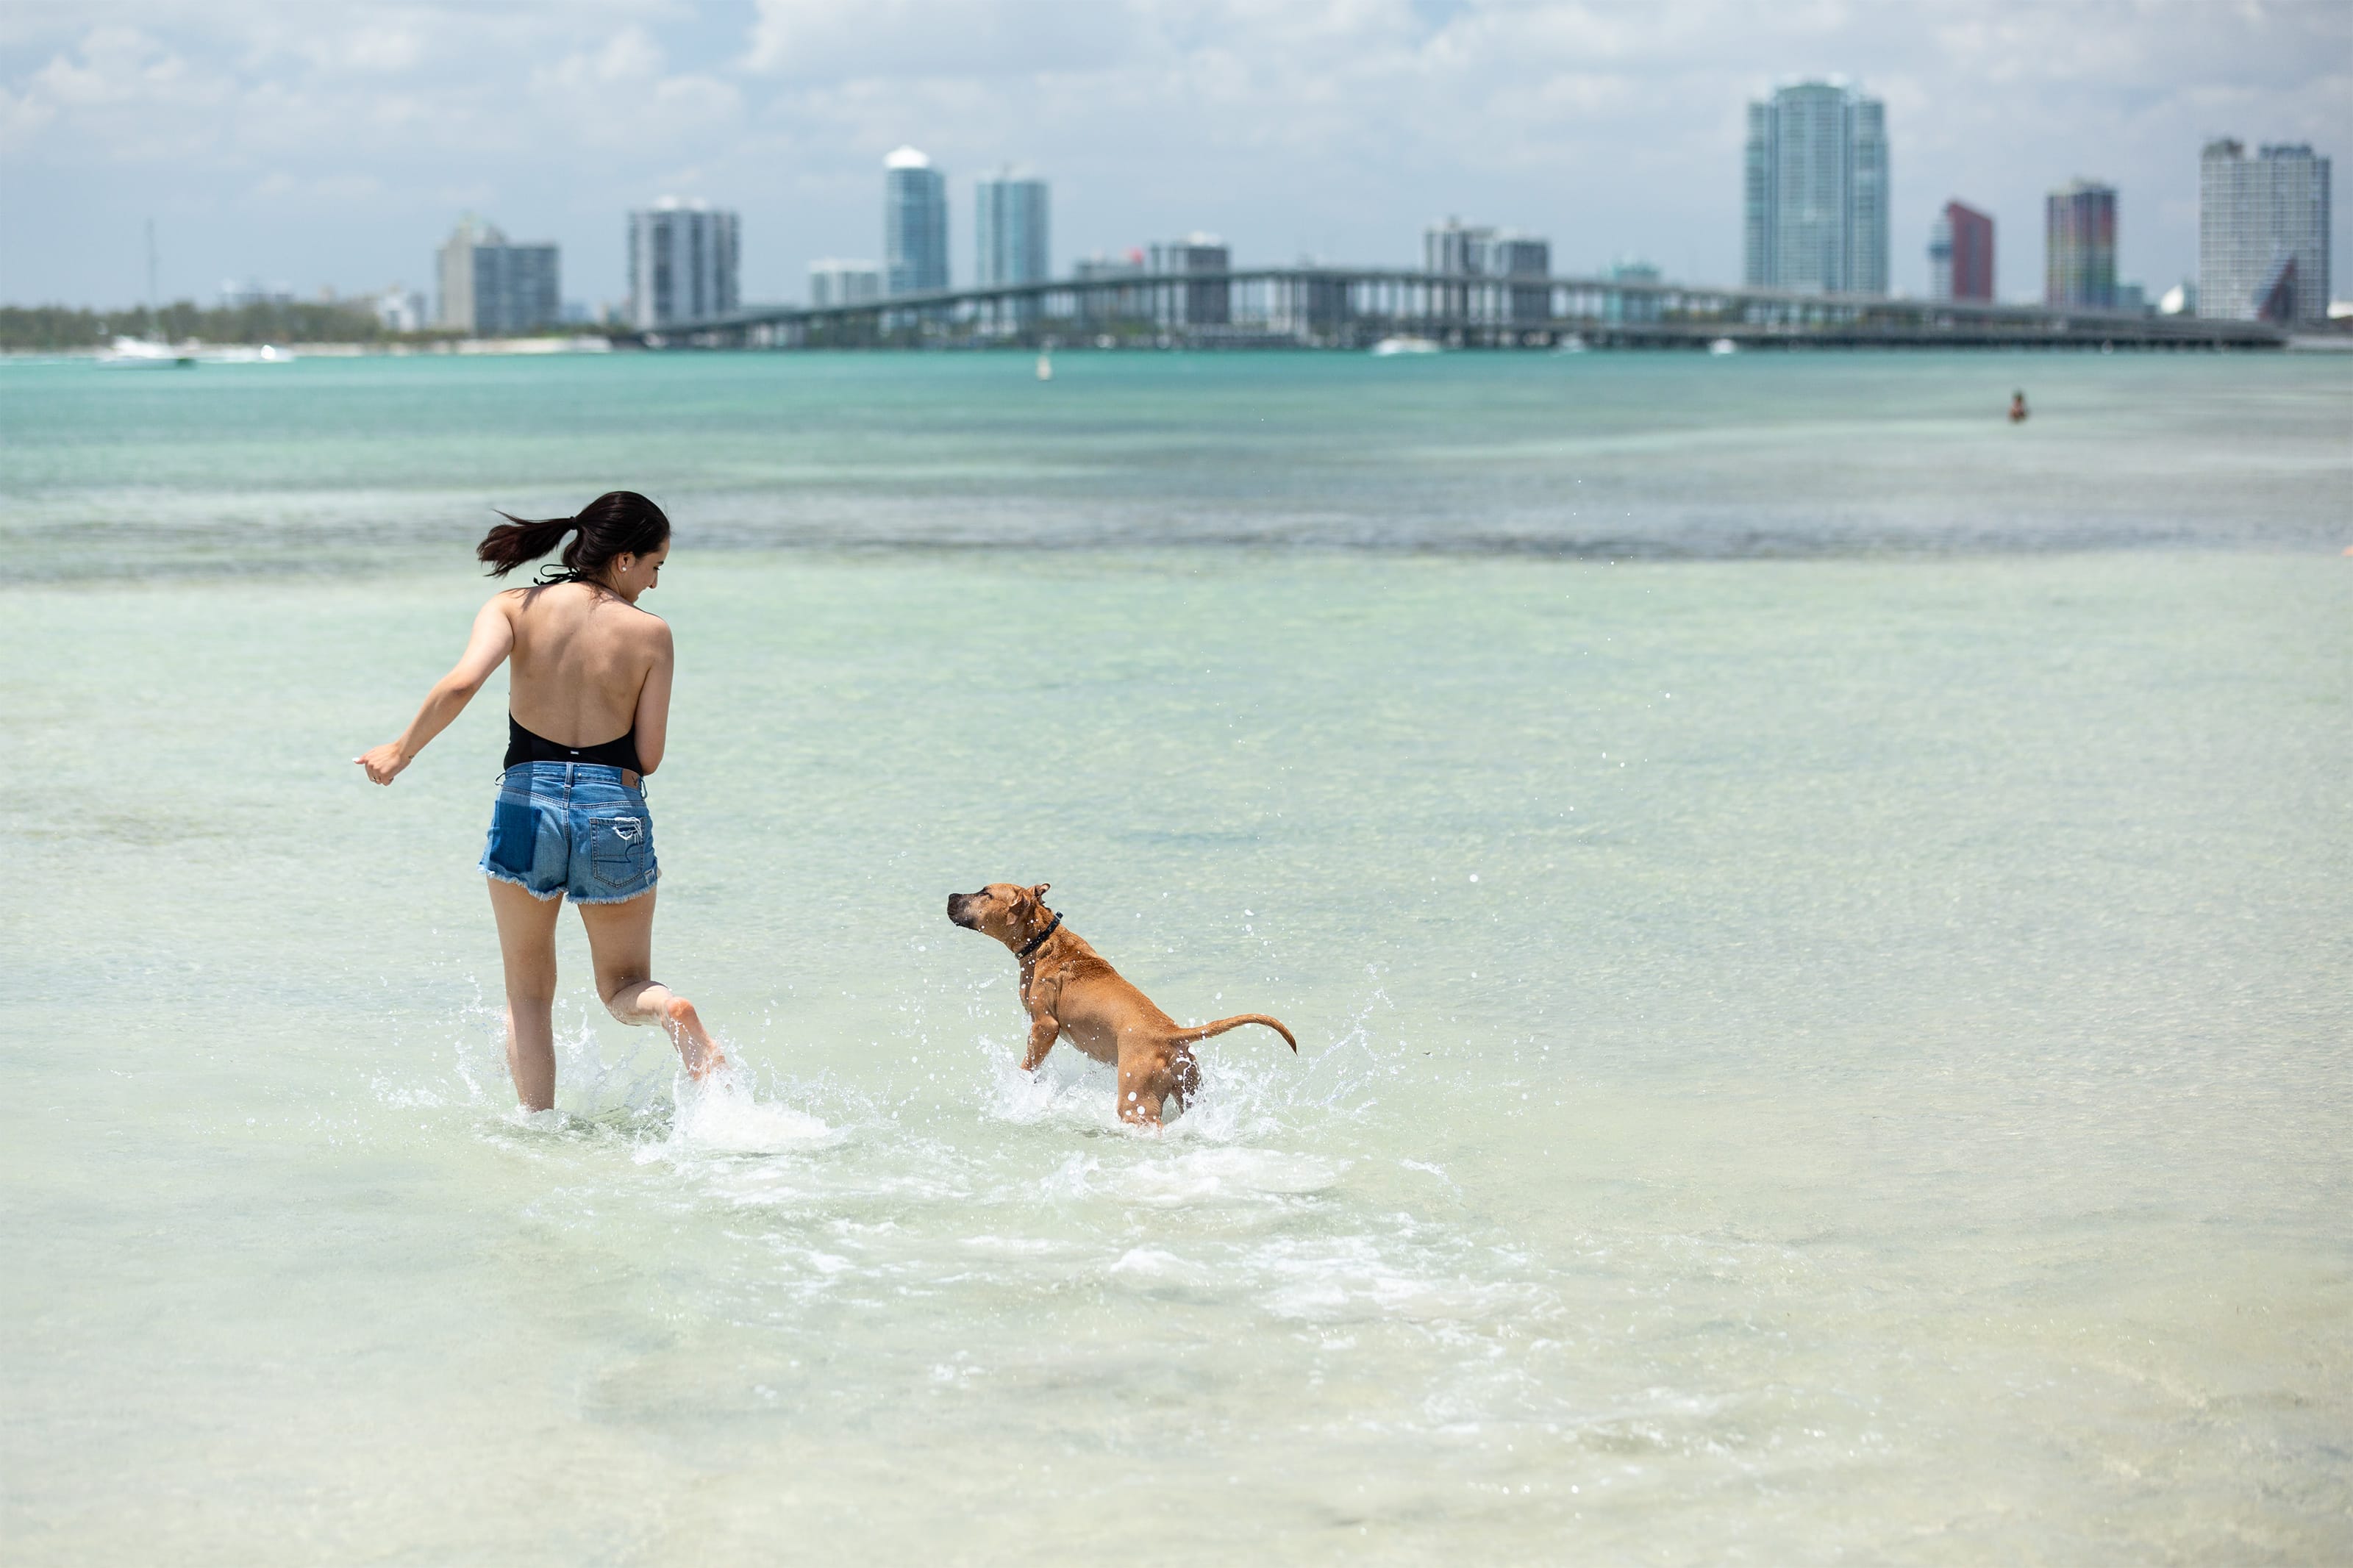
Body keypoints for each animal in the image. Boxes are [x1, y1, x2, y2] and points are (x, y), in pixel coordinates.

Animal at [941, 884, 1308, 1128]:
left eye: (985, 893)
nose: (950, 896)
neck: (1044, 940)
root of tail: (1170, 1033)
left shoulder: (1045, 1026)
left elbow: (1029, 1065)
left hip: (1136, 1100)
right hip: (1189, 1087)